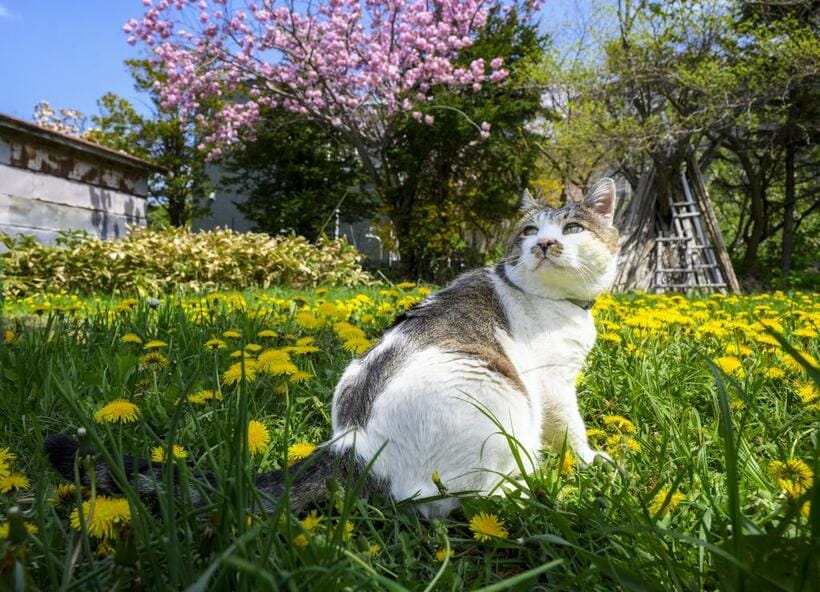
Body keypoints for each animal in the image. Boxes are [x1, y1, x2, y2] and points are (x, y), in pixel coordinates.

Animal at [44, 177, 620, 520]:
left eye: (572, 227)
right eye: (528, 230)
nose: (545, 244)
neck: (559, 303)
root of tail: (350, 444)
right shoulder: (553, 384)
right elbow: (573, 429)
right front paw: (591, 463)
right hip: (496, 397)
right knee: (458, 500)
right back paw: (539, 488)